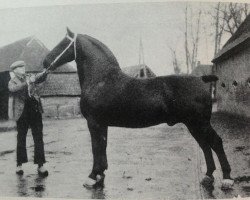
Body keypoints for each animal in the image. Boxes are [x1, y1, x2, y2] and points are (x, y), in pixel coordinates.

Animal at [43, 27, 234, 189]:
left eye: (63, 43)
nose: (45, 61)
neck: (101, 79)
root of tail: (201, 79)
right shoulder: (102, 124)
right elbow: (102, 148)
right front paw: (100, 176)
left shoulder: (94, 123)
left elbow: (96, 148)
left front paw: (92, 177)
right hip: (194, 125)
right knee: (205, 145)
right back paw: (208, 176)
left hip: (200, 123)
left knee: (216, 142)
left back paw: (227, 179)